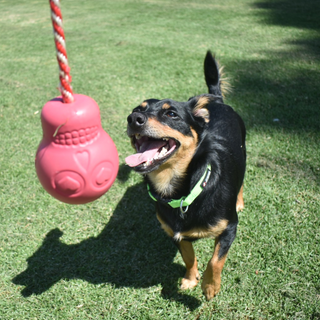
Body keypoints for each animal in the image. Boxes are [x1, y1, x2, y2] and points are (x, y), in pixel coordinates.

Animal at [124, 50, 245, 300]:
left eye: (172, 114)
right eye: (136, 110)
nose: (133, 119)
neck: (181, 192)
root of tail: (218, 102)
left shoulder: (229, 228)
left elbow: (216, 260)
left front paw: (210, 286)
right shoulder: (175, 234)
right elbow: (189, 258)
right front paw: (191, 279)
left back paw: (239, 201)